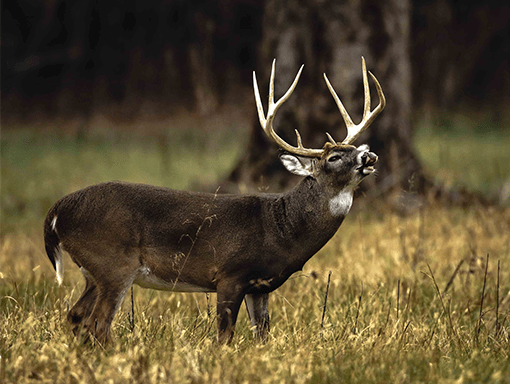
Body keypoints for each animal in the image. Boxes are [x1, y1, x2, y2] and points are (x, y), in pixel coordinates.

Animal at [44, 57, 386, 344]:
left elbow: (262, 335)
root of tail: (57, 211)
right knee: (98, 323)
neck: (281, 228)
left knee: (75, 316)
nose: (368, 156)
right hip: (114, 263)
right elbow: (224, 337)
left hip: (93, 272)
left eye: (355, 149)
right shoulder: (228, 274)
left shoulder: (260, 287)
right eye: (333, 157)